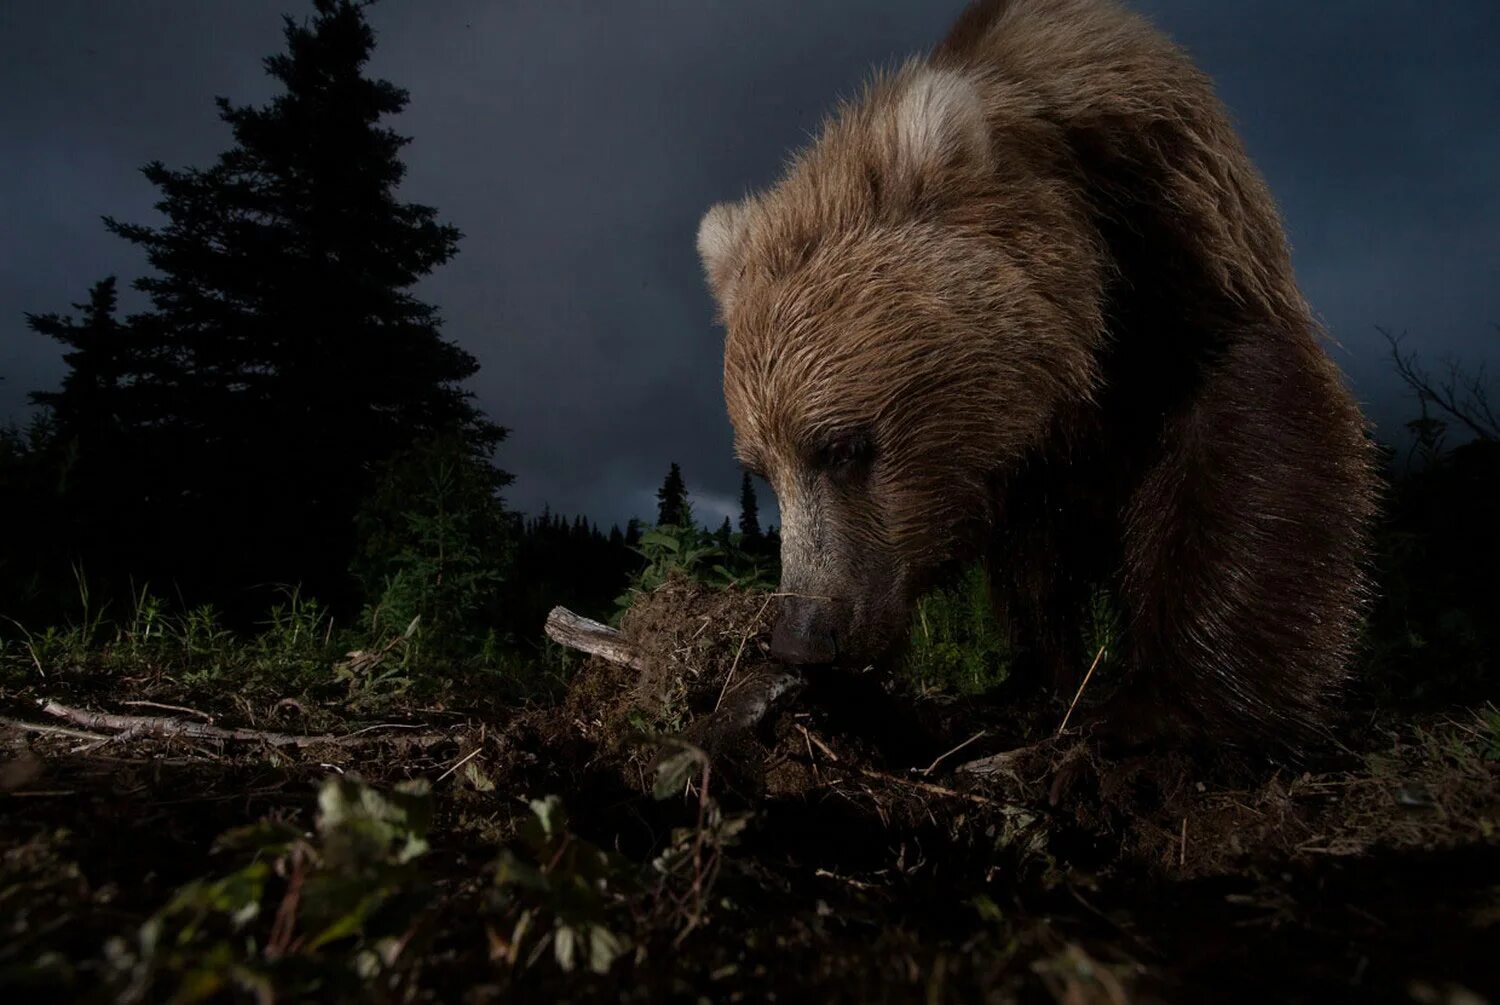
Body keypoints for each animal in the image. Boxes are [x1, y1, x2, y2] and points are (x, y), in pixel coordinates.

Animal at [690, 0, 1374, 747]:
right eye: (761, 471)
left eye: (842, 446)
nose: (804, 635)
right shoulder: (1015, 452)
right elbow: (1031, 561)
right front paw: (1030, 685)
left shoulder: (1181, 252)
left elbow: (1248, 444)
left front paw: (1166, 705)